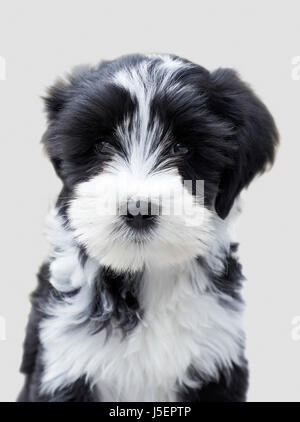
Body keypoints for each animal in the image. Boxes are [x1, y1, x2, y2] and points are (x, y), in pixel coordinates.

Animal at [17, 53, 278, 402]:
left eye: (182, 148)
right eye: (102, 144)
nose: (138, 209)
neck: (145, 270)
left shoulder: (216, 358)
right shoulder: (64, 360)